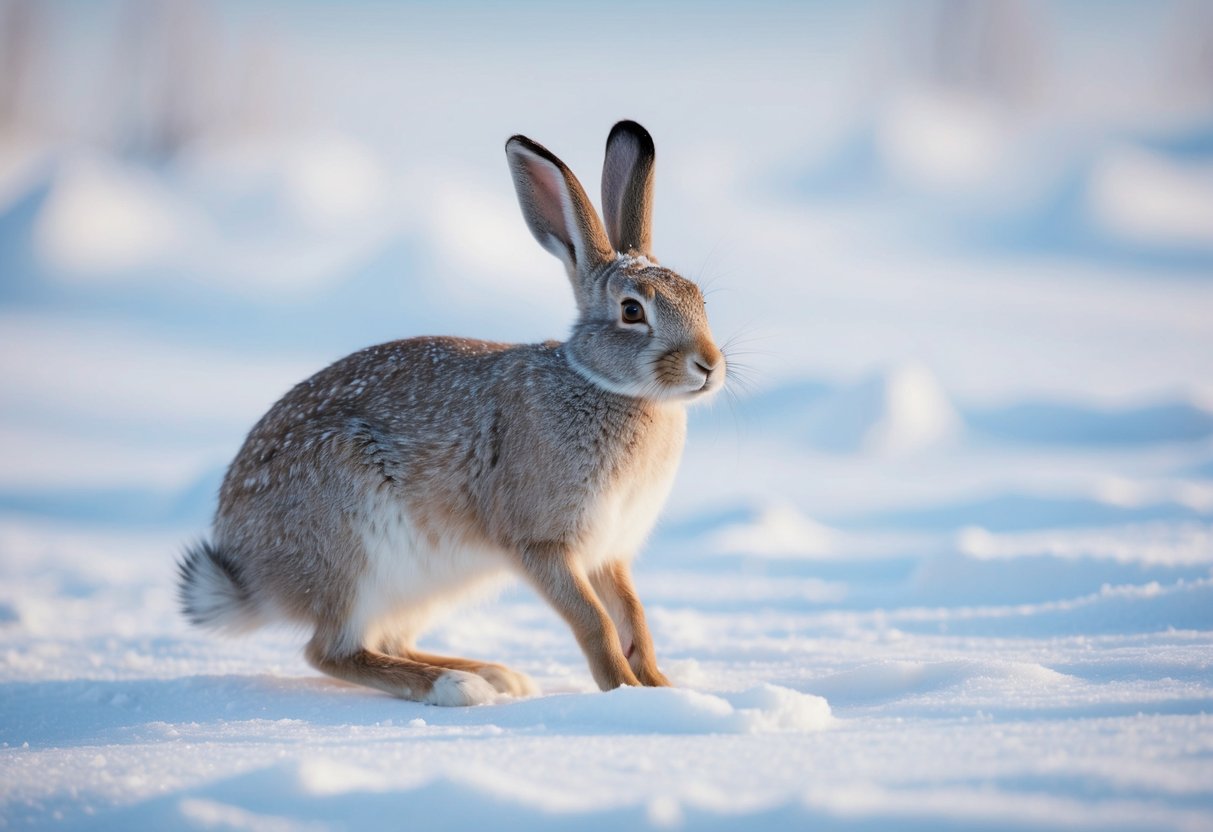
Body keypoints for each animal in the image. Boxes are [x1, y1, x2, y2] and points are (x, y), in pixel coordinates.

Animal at [178, 120, 726, 706]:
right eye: (631, 311)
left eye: (699, 300)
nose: (709, 366)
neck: (609, 387)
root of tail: (249, 572)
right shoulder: (543, 544)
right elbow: (594, 622)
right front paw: (622, 691)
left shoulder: (608, 552)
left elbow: (634, 618)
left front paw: (660, 689)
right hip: (351, 551)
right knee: (332, 652)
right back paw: (457, 687)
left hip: (430, 583)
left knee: (388, 640)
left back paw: (494, 673)